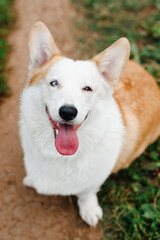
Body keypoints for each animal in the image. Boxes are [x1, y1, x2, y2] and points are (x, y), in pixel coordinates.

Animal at [19, 21, 160, 226]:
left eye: (87, 88)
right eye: (54, 83)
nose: (68, 112)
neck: (61, 157)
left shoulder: (94, 180)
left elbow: (86, 193)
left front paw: (89, 210)